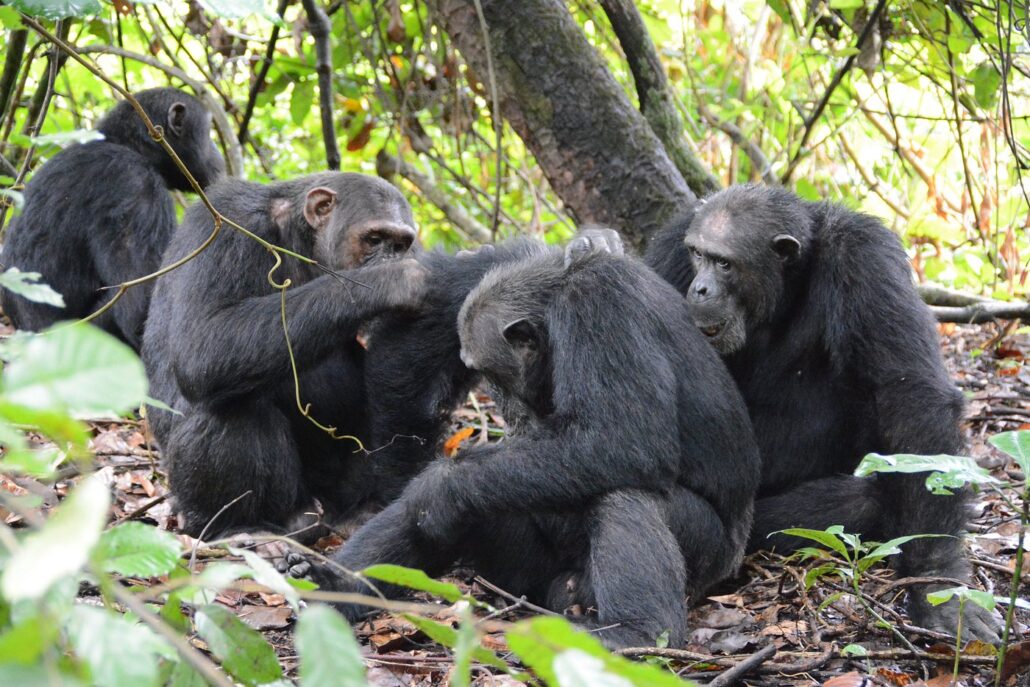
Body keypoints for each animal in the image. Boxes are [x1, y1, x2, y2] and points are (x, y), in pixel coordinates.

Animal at [142, 172, 426, 535]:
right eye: (375, 239)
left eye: (400, 244)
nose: (394, 258)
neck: (300, 241)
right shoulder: (228, 221)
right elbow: (203, 339)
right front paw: (392, 280)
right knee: (232, 410)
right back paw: (242, 528)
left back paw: (362, 511)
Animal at [317, 247, 762, 650]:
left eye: (490, 373)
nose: (503, 404)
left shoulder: (599, 307)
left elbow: (627, 439)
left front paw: (439, 485)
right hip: (530, 577)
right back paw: (329, 587)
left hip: (706, 558)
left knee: (625, 496)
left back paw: (635, 632)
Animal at [646, 185, 1001, 642]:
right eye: (698, 255)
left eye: (724, 263)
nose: (701, 288)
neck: (788, 285)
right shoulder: (672, 250)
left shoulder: (867, 255)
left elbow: (909, 393)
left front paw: (937, 583)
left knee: (867, 496)